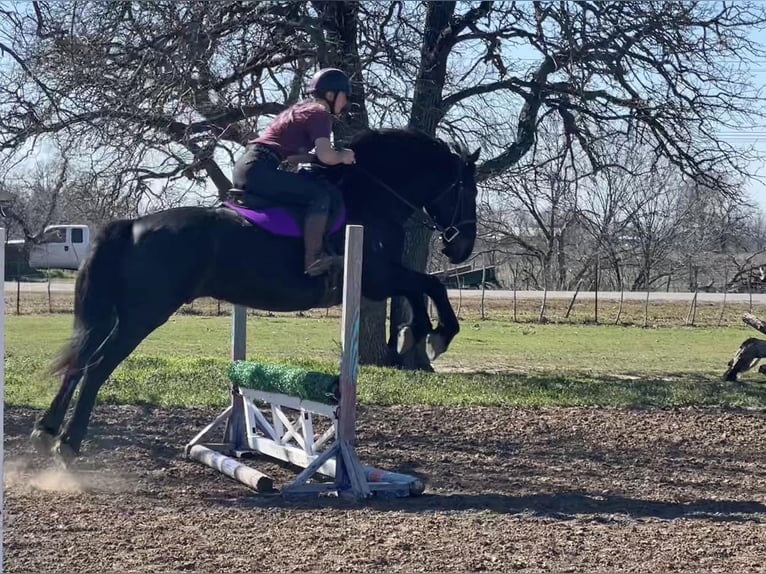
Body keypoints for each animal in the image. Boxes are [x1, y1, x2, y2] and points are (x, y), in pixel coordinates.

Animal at [33, 126, 484, 464]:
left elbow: (423, 288)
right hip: (144, 315)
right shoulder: (377, 277)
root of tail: (130, 226)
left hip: (116, 315)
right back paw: (69, 442)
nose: (461, 249)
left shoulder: (380, 280)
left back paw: (46, 430)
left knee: (79, 363)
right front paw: (434, 336)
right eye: (469, 192)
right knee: (96, 367)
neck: (371, 198)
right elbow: (428, 285)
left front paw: (419, 336)